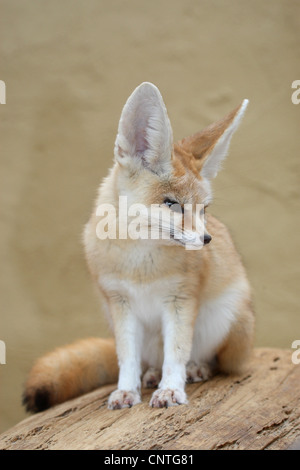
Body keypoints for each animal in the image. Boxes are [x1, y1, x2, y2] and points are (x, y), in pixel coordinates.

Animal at [22, 83, 253, 412]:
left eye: (203, 210)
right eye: (172, 204)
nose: (208, 240)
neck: (140, 265)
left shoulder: (180, 300)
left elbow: (177, 354)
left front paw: (171, 389)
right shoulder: (120, 304)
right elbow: (127, 359)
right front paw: (126, 391)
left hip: (225, 320)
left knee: (212, 360)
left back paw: (197, 368)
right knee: (147, 361)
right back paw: (151, 374)